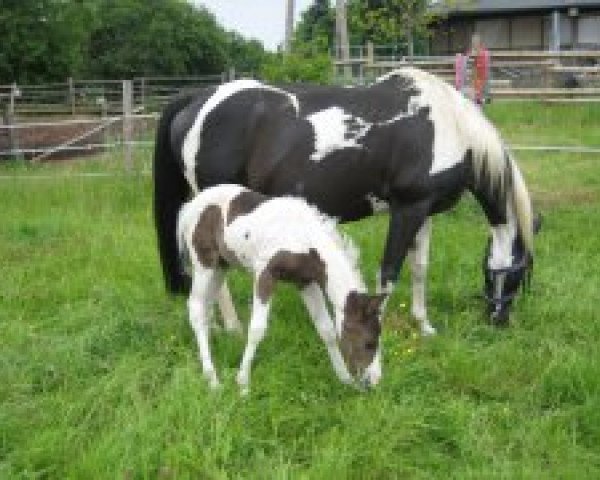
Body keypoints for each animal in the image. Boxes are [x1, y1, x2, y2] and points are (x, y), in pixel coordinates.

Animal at [178, 186, 382, 392]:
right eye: (369, 343)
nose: (374, 381)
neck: (303, 237)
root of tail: (189, 206)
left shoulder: (305, 282)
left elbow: (327, 330)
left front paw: (345, 379)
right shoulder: (265, 274)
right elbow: (257, 329)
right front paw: (243, 383)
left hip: (221, 266)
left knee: (207, 306)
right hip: (204, 264)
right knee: (196, 308)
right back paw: (212, 379)